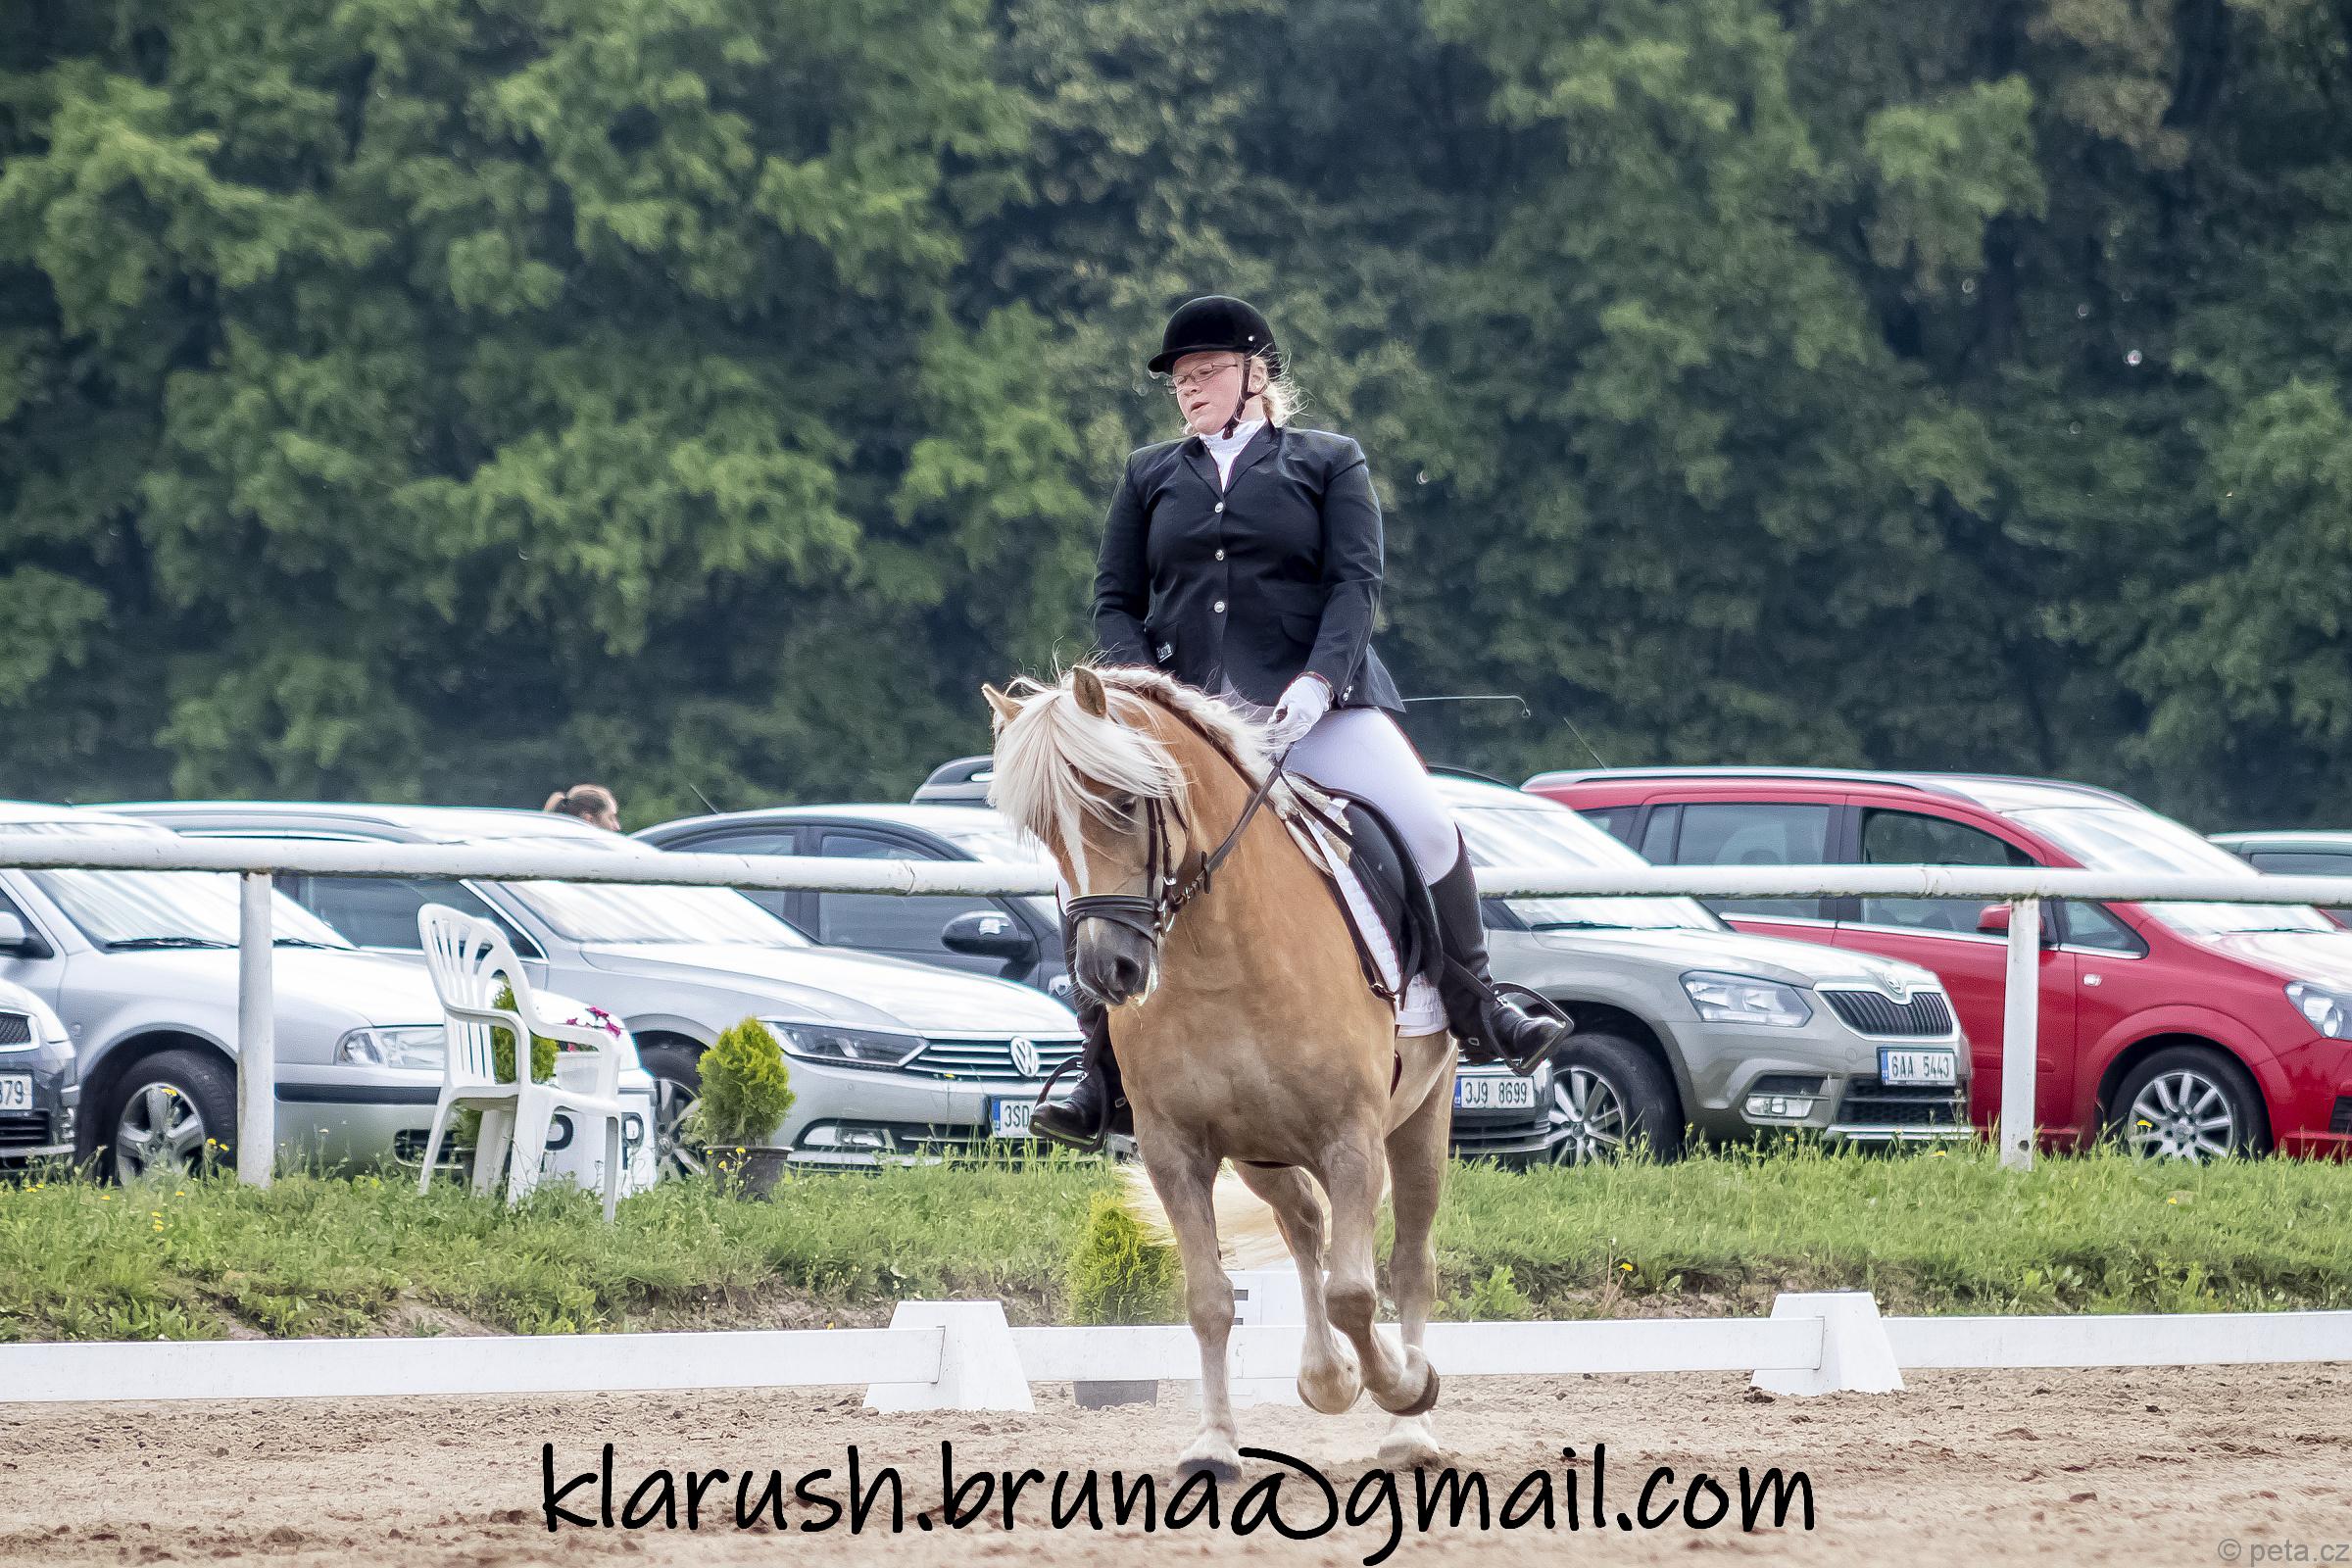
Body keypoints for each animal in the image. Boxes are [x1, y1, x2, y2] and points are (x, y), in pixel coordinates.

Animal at [984, 664, 1455, 1476]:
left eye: (1120, 801)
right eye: (1044, 829)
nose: (1107, 972)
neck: (1222, 957)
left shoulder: (1352, 1138)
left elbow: (1356, 1294)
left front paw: (1400, 1385)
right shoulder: (1177, 1149)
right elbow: (1209, 1299)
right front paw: (1214, 1445)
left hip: (1422, 1117)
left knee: (1408, 1262)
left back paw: (1409, 1427)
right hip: (1262, 1151)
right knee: (1305, 1226)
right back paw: (1328, 1377)